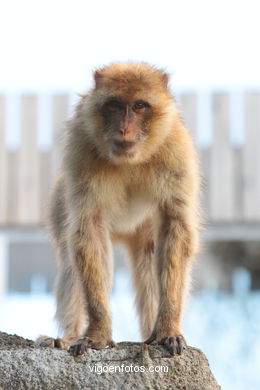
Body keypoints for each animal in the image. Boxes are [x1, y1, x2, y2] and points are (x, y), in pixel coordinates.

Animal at [36, 61, 199, 356]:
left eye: (139, 106)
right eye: (114, 105)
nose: (124, 129)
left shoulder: (176, 151)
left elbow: (175, 229)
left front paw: (167, 329)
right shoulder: (82, 148)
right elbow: (88, 230)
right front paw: (98, 333)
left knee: (149, 254)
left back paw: (150, 333)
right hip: (59, 201)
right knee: (71, 255)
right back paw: (69, 336)